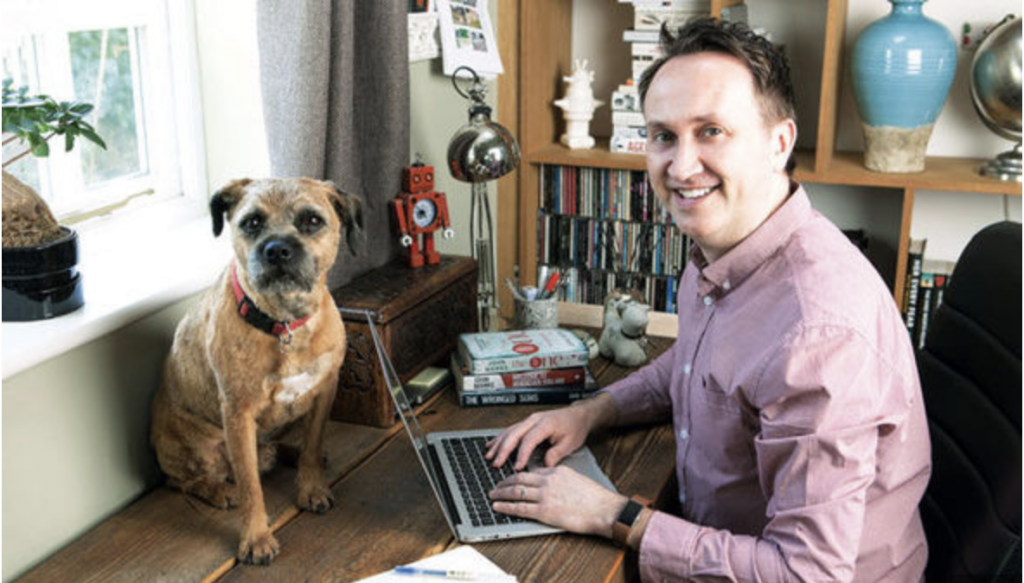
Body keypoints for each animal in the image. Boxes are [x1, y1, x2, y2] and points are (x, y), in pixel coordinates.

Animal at [149, 176, 362, 565]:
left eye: (312, 220)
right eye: (252, 222)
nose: (276, 249)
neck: (284, 322)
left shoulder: (324, 392)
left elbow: (312, 445)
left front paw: (311, 486)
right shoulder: (238, 415)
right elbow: (251, 486)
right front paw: (256, 537)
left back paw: (289, 454)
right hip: (198, 448)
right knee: (182, 481)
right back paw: (219, 490)